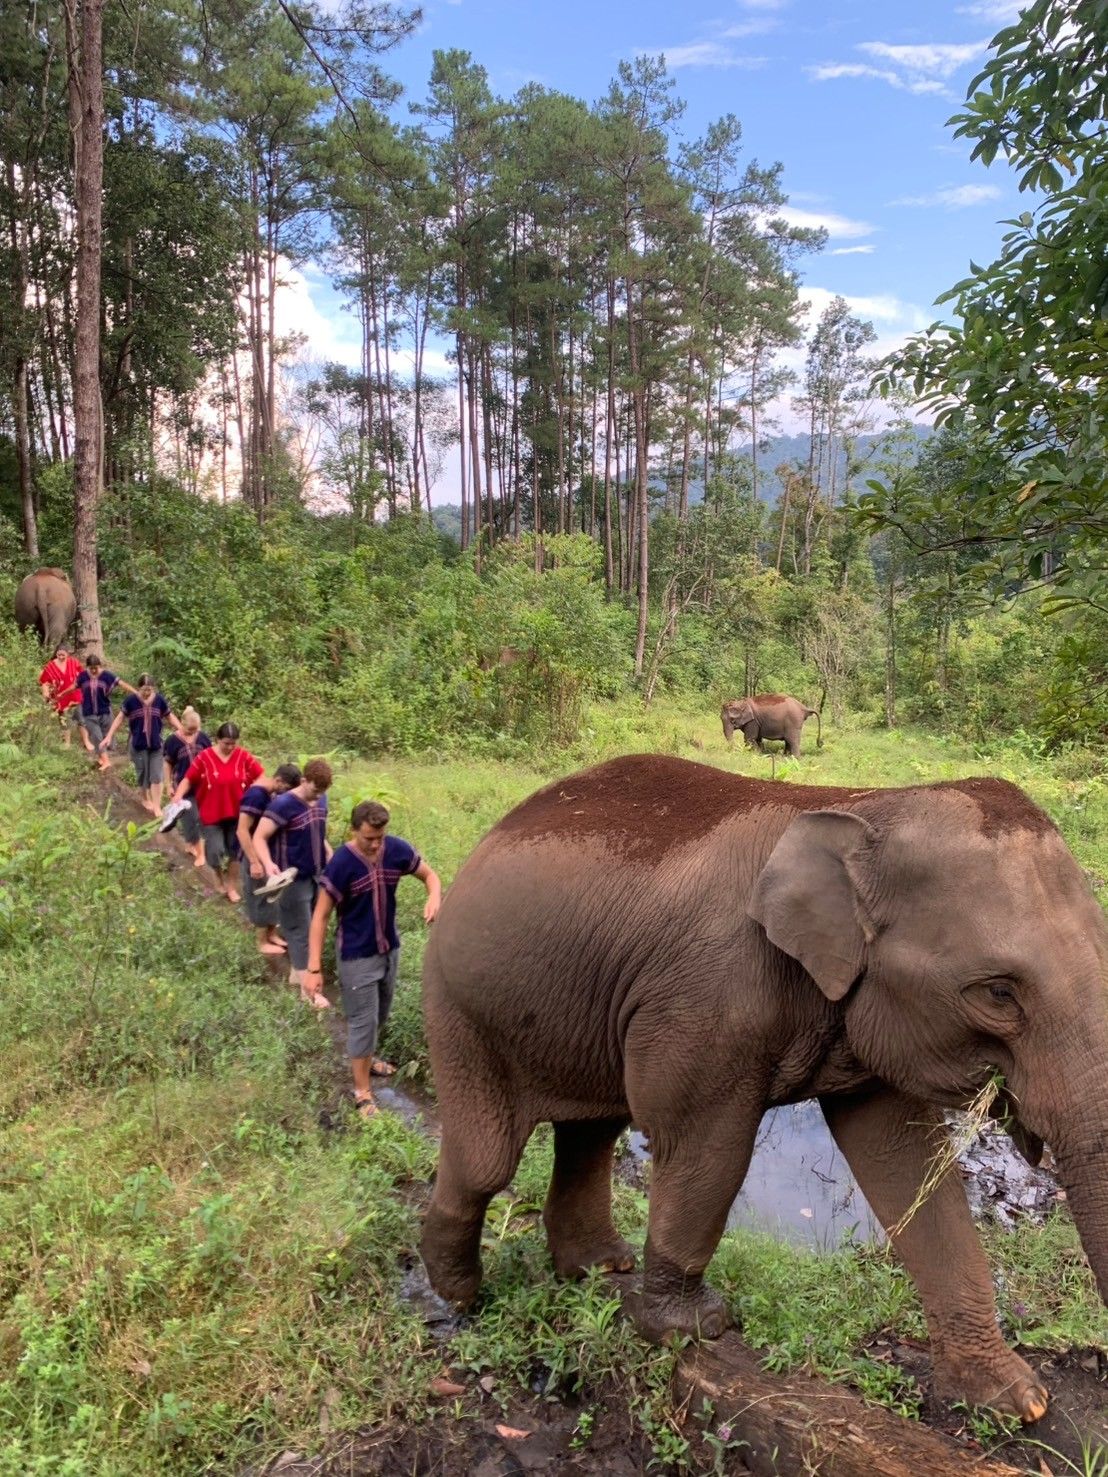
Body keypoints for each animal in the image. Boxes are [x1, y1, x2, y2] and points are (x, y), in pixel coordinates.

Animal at [420, 753, 1108, 1424]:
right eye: (999, 993)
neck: (865, 805)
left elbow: (907, 1165)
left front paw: (1015, 1402)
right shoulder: (707, 998)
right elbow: (707, 1147)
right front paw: (691, 1329)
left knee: (592, 1130)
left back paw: (597, 1267)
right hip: (460, 1004)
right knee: (488, 1159)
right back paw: (460, 1293)